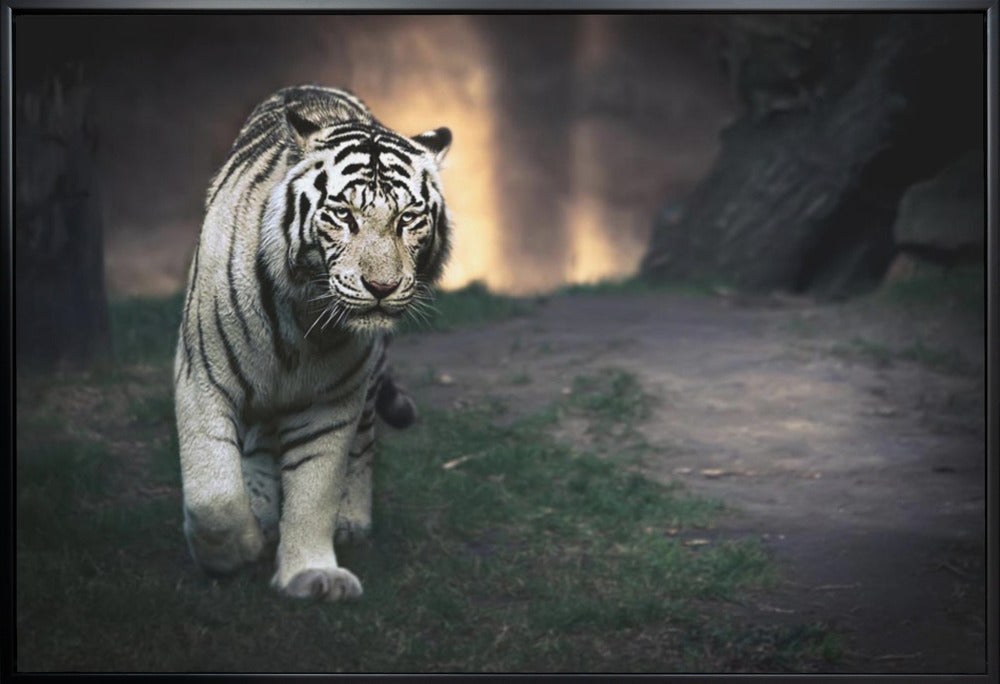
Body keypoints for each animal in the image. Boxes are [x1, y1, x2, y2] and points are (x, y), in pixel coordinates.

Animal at [174, 85, 452, 601]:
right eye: (343, 215)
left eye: (408, 219)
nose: (381, 286)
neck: (302, 318)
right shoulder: (203, 377)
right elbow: (214, 493)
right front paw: (237, 549)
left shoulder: (332, 400)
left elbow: (315, 487)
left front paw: (311, 574)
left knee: (363, 443)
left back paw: (351, 521)